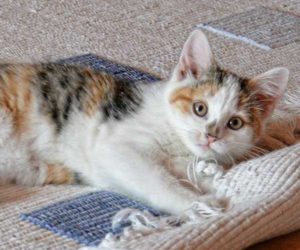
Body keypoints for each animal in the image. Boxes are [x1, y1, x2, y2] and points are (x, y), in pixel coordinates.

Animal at [0, 30, 288, 215]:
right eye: (200, 108)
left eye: (235, 123)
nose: (210, 135)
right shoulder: (113, 148)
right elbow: (158, 180)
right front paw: (197, 204)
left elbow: (187, 168)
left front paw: (210, 177)